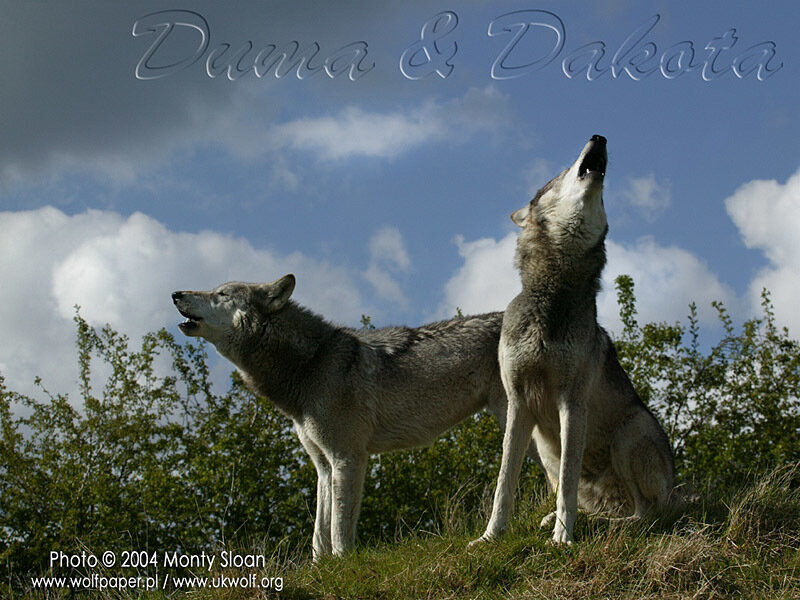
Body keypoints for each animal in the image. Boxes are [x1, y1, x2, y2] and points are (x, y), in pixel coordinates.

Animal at [173, 276, 521, 558]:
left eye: (221, 293)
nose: (175, 293)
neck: (311, 364)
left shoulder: (348, 458)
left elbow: (339, 529)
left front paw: (343, 565)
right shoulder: (324, 466)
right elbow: (319, 533)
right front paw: (321, 570)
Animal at [472, 135, 675, 546]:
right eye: (562, 172)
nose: (599, 136)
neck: (553, 298)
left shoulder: (572, 403)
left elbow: (567, 481)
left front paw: (563, 538)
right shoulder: (518, 405)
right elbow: (504, 483)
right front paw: (490, 537)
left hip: (629, 434)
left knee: (645, 512)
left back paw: (602, 525)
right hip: (545, 447)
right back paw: (565, 519)